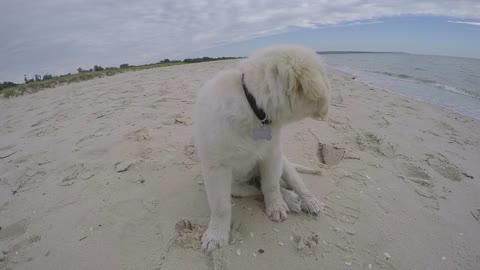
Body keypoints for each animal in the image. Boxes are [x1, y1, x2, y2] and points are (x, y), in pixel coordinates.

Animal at [193, 44, 328, 251]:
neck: (253, 107)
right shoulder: (215, 168)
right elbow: (220, 206)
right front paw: (216, 236)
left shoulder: (272, 155)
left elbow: (271, 185)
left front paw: (276, 207)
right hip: (237, 187)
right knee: (258, 188)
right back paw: (291, 199)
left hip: (284, 163)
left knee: (292, 183)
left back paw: (306, 200)